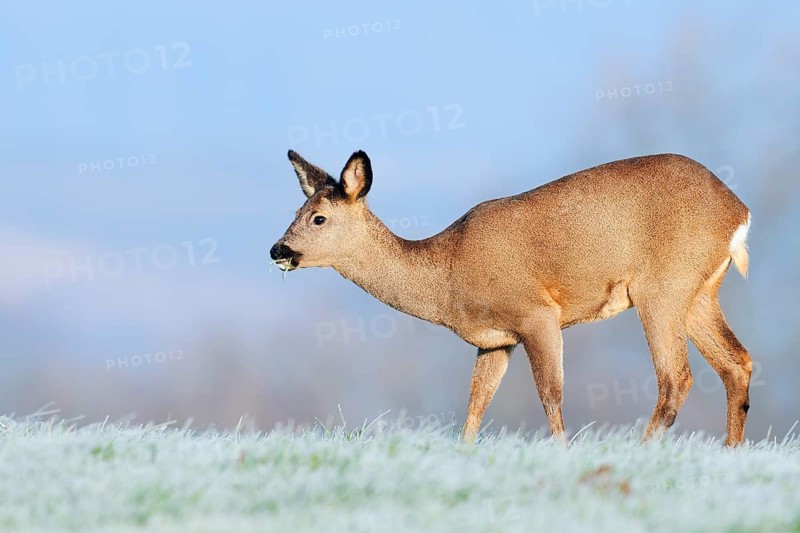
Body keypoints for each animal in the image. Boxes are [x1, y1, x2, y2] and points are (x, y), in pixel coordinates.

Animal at [270, 150, 753, 446]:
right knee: (737, 362)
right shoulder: (494, 340)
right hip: (699, 292)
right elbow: (476, 404)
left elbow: (551, 393)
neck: (447, 273)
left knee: (676, 377)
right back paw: (730, 451)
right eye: (295, 212)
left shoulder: (537, 314)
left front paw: (563, 455)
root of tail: (739, 212)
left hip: (662, 287)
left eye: (318, 218)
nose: (277, 250)